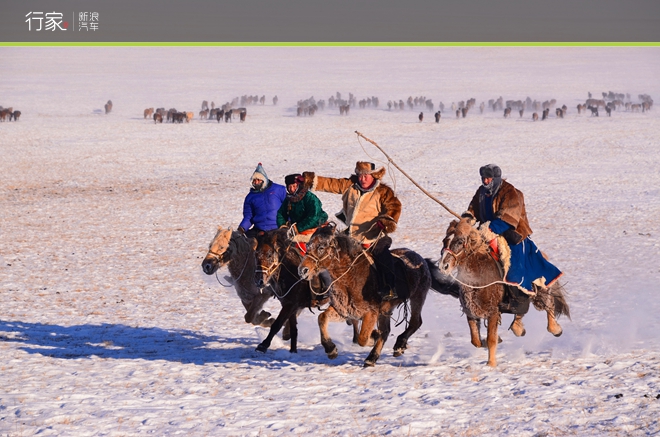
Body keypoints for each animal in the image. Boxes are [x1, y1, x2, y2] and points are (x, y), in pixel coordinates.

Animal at [298, 225, 456, 364]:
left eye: (321, 247)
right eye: (308, 245)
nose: (303, 270)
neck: (351, 277)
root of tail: (421, 259)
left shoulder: (371, 313)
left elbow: (362, 338)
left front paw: (373, 336)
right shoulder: (345, 310)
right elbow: (322, 318)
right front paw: (330, 349)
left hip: (417, 297)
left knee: (415, 322)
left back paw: (398, 345)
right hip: (387, 309)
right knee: (386, 330)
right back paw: (372, 358)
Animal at [438, 216, 568, 366]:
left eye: (460, 241)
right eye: (444, 240)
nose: (443, 266)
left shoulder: (493, 311)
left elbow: (491, 339)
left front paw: (491, 364)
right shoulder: (470, 312)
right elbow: (475, 340)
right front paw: (488, 343)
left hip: (540, 289)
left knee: (548, 305)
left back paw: (555, 329)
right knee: (521, 310)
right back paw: (519, 328)